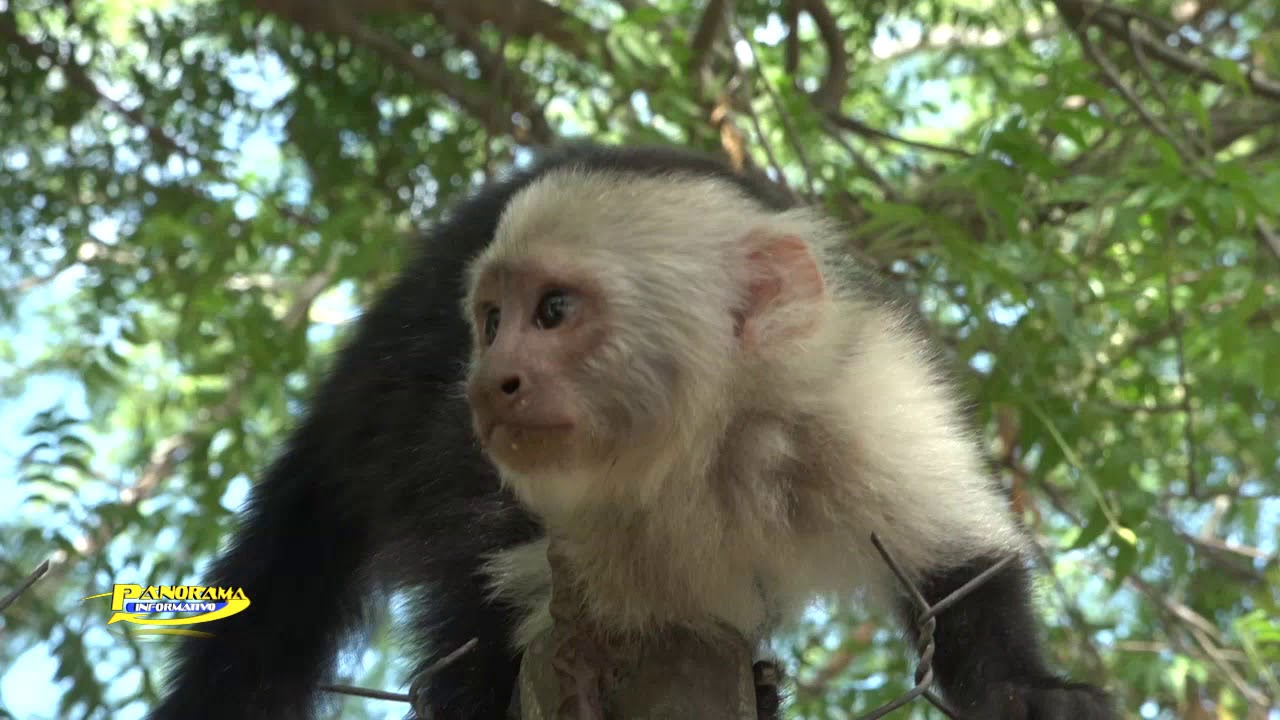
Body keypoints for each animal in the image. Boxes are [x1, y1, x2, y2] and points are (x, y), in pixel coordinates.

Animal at [148, 143, 1113, 720]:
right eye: (491, 320)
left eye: (554, 311)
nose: (491, 381)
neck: (697, 450)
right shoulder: (506, 487)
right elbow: (482, 620)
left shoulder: (858, 397)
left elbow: (958, 561)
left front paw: (1029, 691)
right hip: (397, 416)